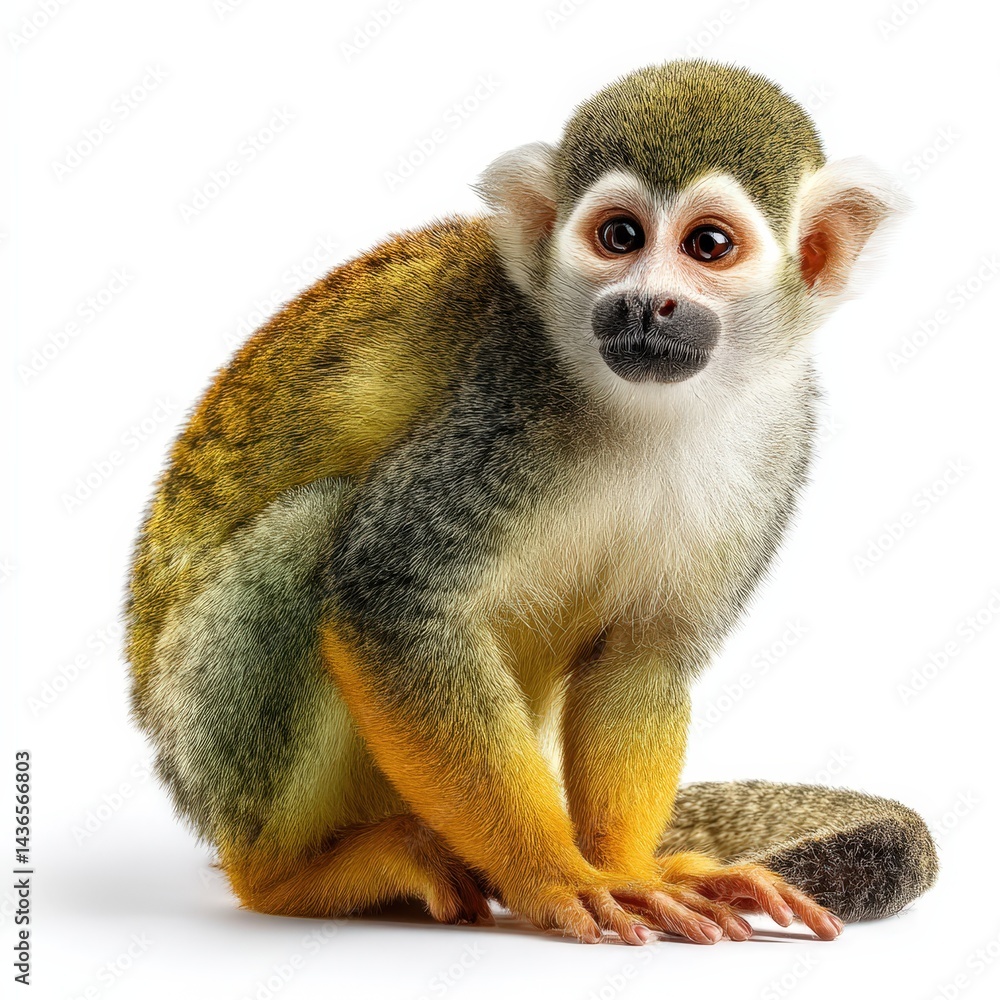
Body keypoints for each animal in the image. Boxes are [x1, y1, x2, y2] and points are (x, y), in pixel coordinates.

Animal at [126, 60, 938, 945]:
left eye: (708, 246)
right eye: (620, 237)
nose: (645, 302)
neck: (645, 405)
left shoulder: (779, 438)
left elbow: (643, 655)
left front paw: (629, 871)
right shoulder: (502, 401)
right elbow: (392, 601)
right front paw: (557, 876)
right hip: (215, 760)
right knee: (312, 532)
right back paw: (293, 875)